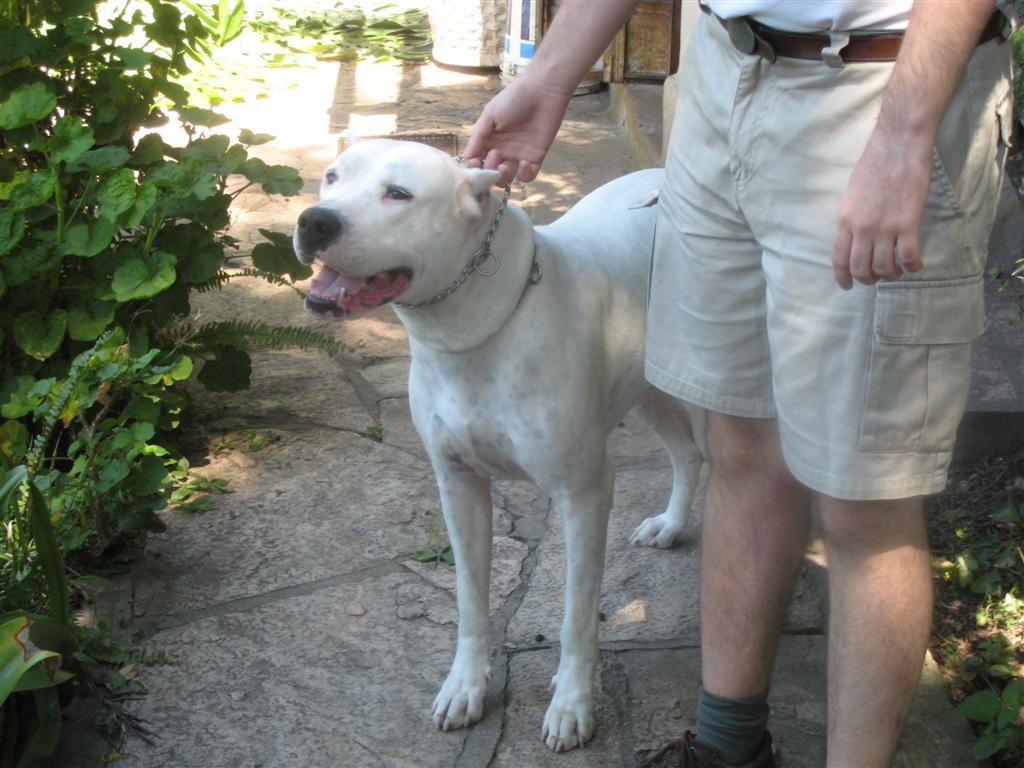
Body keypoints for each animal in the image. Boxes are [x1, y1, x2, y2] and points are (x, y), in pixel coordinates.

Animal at [296, 141, 704, 753]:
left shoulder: (582, 495)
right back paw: (671, 526)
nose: (314, 221)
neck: (472, 328)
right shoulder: (458, 486)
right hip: (646, 386)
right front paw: (465, 686)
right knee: (685, 450)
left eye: (399, 194)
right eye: (331, 177)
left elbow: (576, 616)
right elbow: (470, 600)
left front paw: (572, 703)